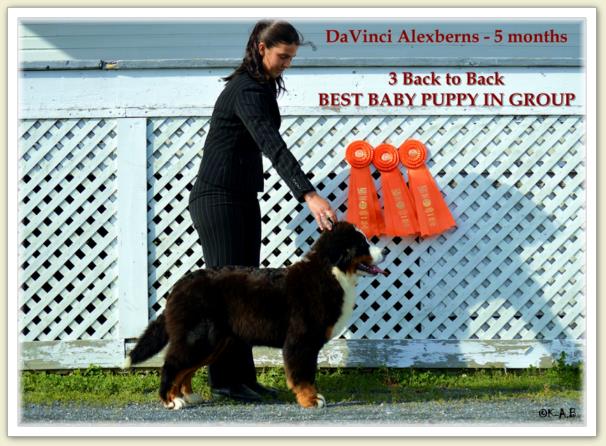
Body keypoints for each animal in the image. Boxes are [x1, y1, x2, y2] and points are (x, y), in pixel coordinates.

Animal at [126, 221, 388, 410]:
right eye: (363, 244)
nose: (384, 250)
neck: (330, 272)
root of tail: (180, 284)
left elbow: (308, 372)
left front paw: (312, 397)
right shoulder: (301, 340)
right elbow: (303, 374)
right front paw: (311, 400)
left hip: (215, 341)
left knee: (185, 368)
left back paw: (188, 396)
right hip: (200, 337)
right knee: (172, 364)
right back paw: (171, 400)